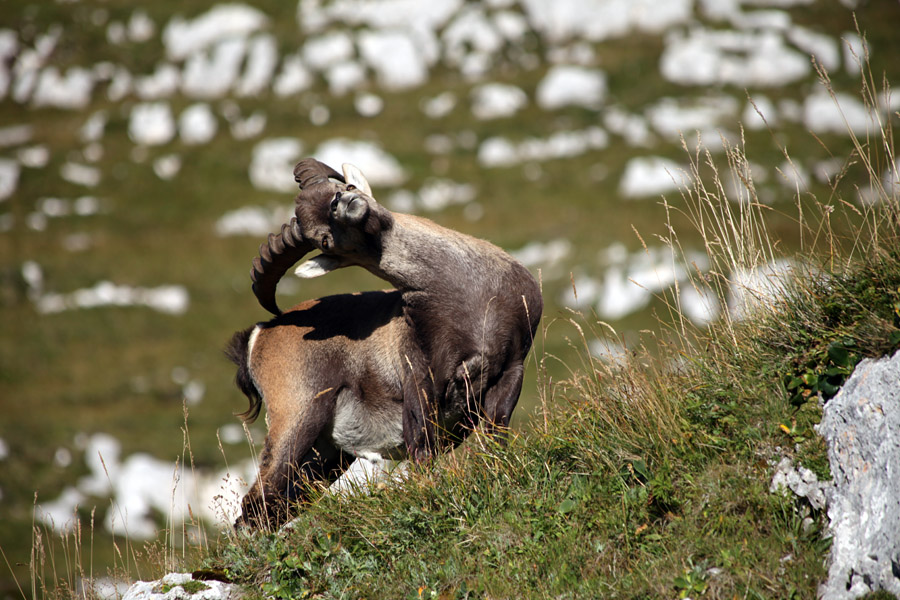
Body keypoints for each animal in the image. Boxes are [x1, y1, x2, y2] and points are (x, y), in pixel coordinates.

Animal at [251, 159, 543, 461]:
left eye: (345, 187)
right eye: (324, 241)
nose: (339, 203)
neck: (468, 296)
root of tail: (259, 335)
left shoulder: (512, 365)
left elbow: (497, 430)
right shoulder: (418, 377)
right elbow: (421, 447)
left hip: (326, 456)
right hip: (297, 420)